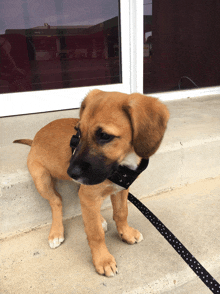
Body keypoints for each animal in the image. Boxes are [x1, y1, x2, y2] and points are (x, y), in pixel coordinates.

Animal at [13, 89, 169, 276]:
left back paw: (99, 219)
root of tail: (34, 140)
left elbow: (121, 213)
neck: (122, 165)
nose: (71, 172)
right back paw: (56, 232)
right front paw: (103, 260)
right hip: (41, 178)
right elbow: (95, 234)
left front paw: (126, 233)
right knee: (56, 201)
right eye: (78, 132)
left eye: (105, 136)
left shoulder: (120, 189)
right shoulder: (90, 195)